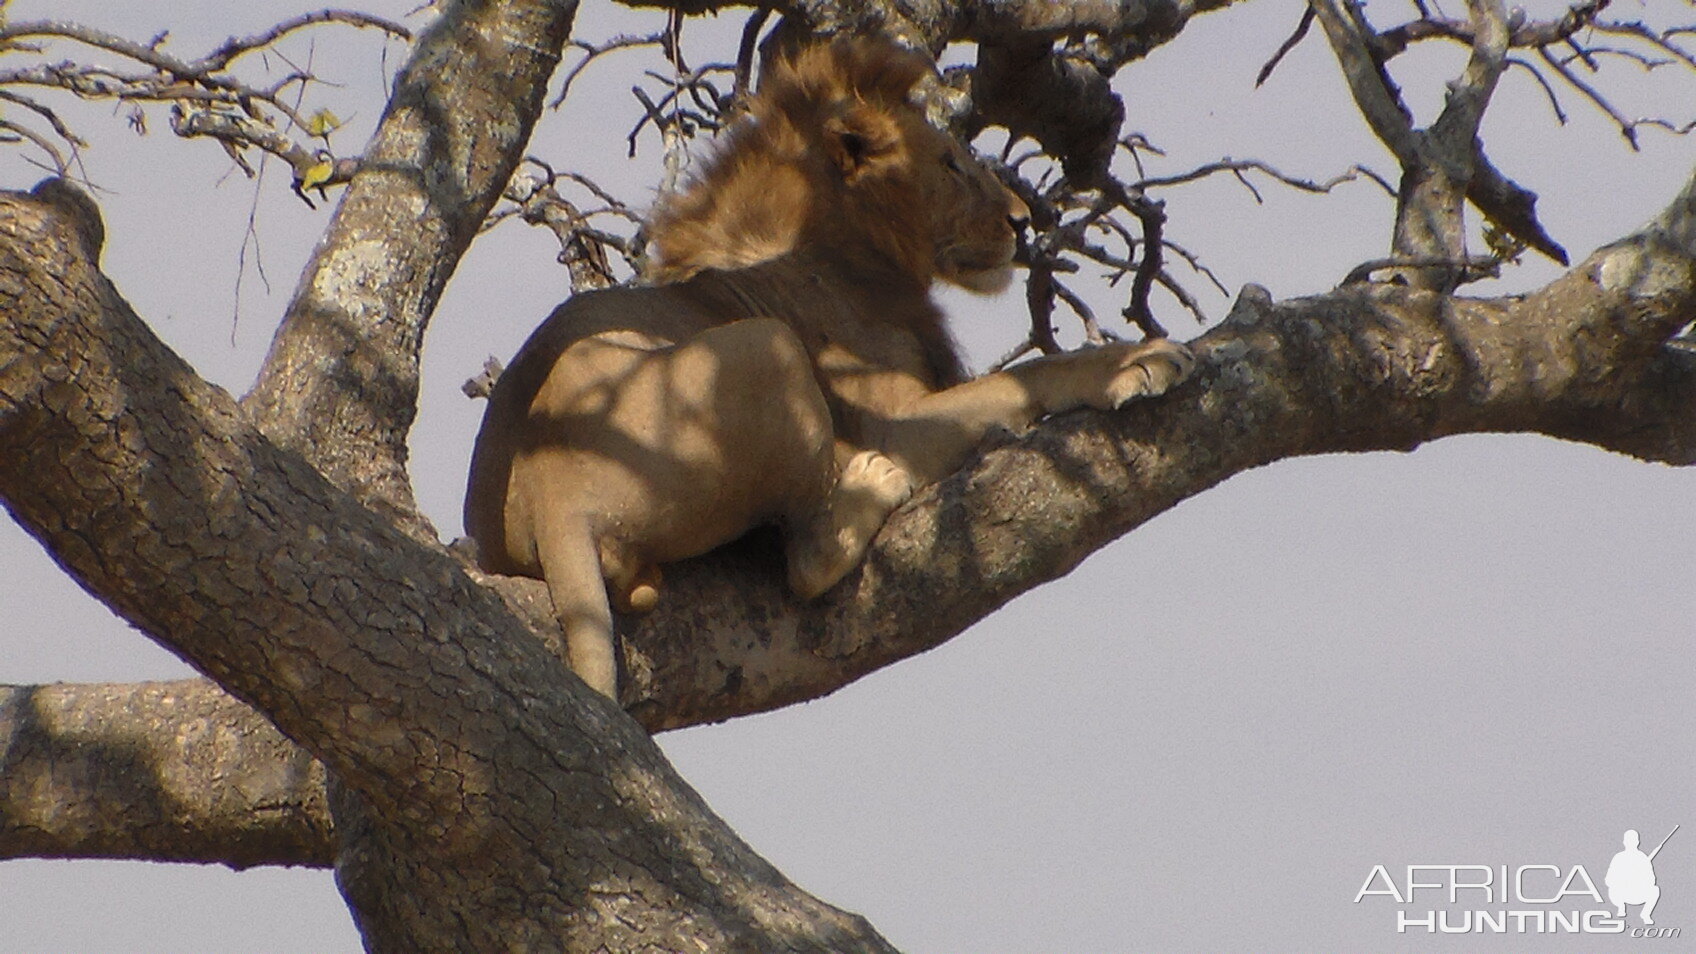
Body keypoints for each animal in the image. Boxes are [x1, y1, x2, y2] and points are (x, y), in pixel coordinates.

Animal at [464, 37, 1193, 699]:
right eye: (950, 163)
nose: (1022, 221)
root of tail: (552, 492)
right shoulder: (890, 419)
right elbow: (1029, 375)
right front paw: (1136, 361)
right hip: (769, 345)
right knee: (803, 564)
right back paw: (869, 484)